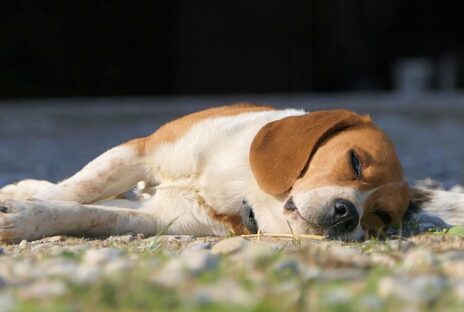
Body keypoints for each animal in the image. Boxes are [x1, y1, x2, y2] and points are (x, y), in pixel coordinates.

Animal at [0, 103, 462, 243]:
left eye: (380, 218)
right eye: (355, 162)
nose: (348, 215)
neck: (241, 186)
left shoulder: (159, 218)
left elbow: (88, 212)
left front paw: (26, 215)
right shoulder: (142, 150)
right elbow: (78, 191)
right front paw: (24, 207)